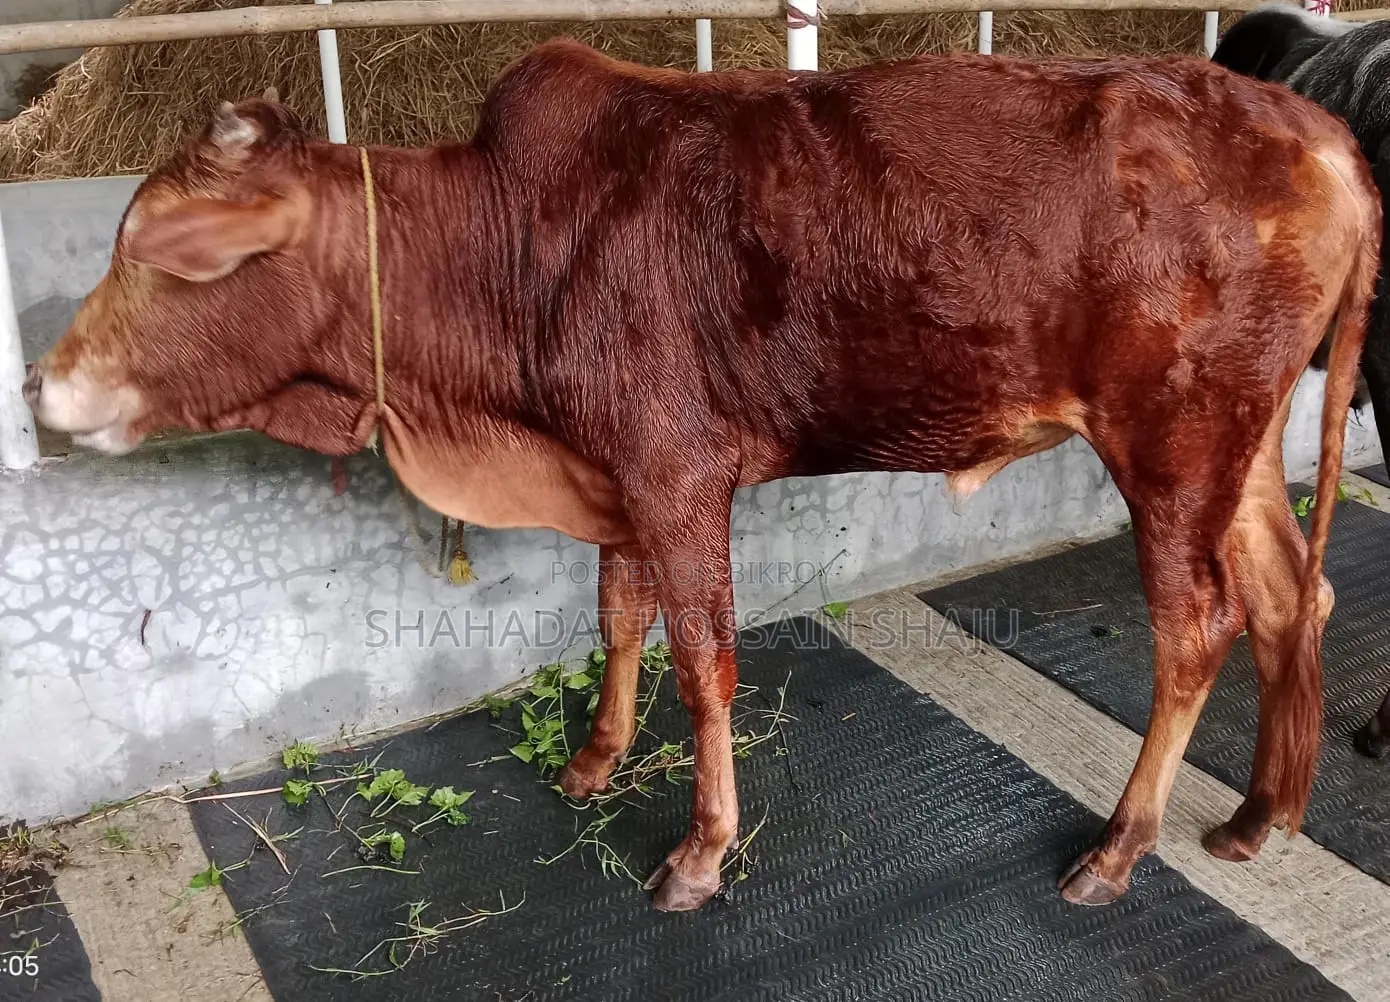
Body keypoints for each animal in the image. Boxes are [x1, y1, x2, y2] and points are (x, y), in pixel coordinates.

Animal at [23, 40, 1379, 911]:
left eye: (158, 249)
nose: (41, 386)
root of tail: (1313, 129)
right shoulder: (613, 472)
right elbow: (617, 617)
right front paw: (593, 761)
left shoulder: (677, 472)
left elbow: (702, 659)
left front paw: (698, 852)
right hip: (1237, 446)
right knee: (1288, 594)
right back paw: (1257, 817)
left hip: (1173, 441)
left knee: (1196, 623)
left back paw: (1119, 849)